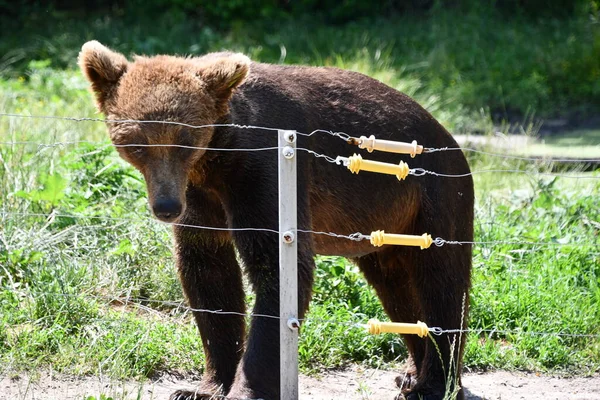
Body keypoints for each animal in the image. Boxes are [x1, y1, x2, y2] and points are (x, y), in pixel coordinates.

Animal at [78, 41, 474, 400]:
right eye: (137, 143)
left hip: (434, 196)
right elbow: (208, 275)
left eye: (184, 141)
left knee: (441, 282)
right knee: (397, 288)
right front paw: (202, 387)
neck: (216, 159)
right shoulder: (201, 196)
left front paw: (244, 389)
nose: (166, 206)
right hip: (383, 223)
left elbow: (276, 269)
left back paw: (434, 383)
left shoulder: (262, 171)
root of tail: (448, 134)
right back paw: (410, 374)